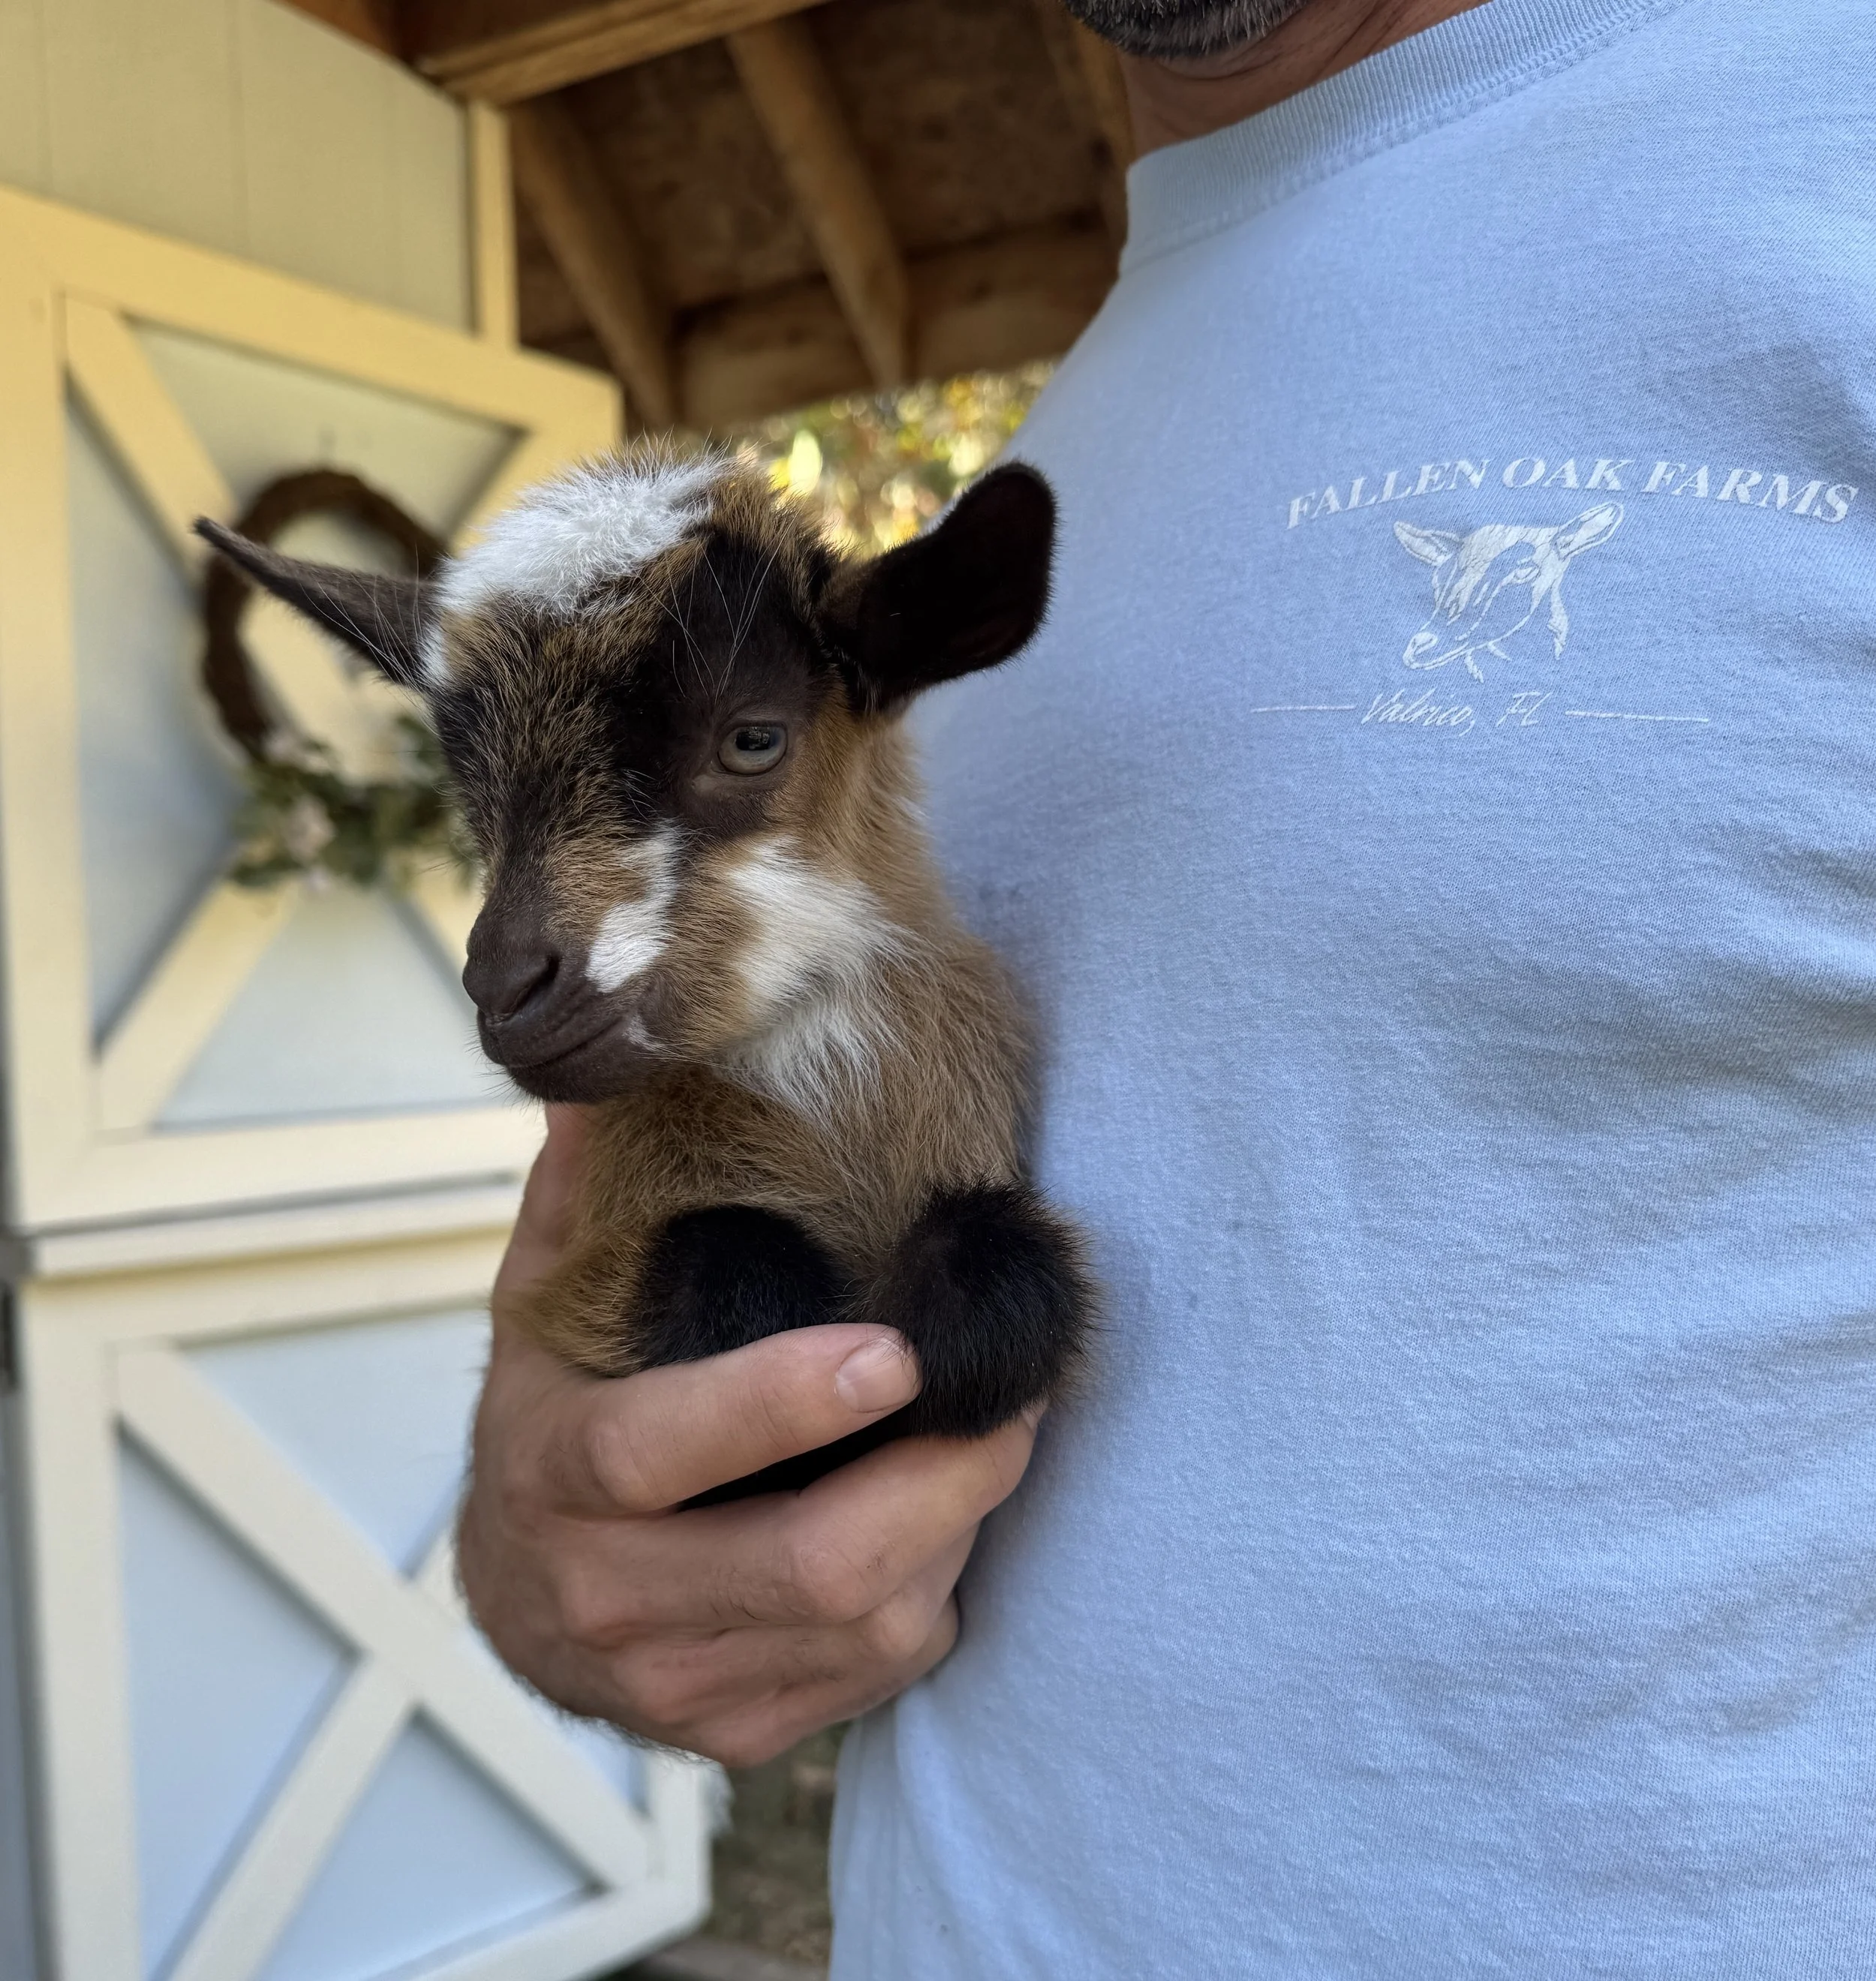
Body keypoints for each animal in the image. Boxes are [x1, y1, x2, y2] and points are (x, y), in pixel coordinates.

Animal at [198, 451, 1093, 1491]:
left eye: (754, 738)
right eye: (471, 791)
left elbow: (1007, 1279)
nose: (506, 990)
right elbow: (727, 1266)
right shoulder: (596, 1280)